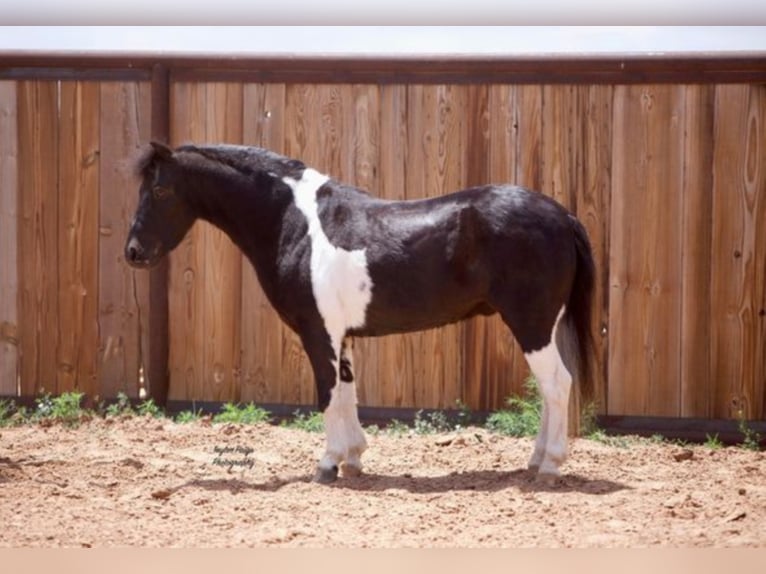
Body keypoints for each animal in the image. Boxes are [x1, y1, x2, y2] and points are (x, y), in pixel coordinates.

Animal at [126, 142, 596, 484]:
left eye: (160, 191)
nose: (133, 252)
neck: (294, 223)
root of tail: (562, 215)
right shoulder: (341, 336)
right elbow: (347, 392)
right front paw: (353, 459)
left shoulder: (318, 332)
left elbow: (327, 393)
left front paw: (328, 464)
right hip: (545, 325)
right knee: (551, 389)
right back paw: (535, 462)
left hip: (532, 324)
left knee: (557, 385)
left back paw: (549, 467)